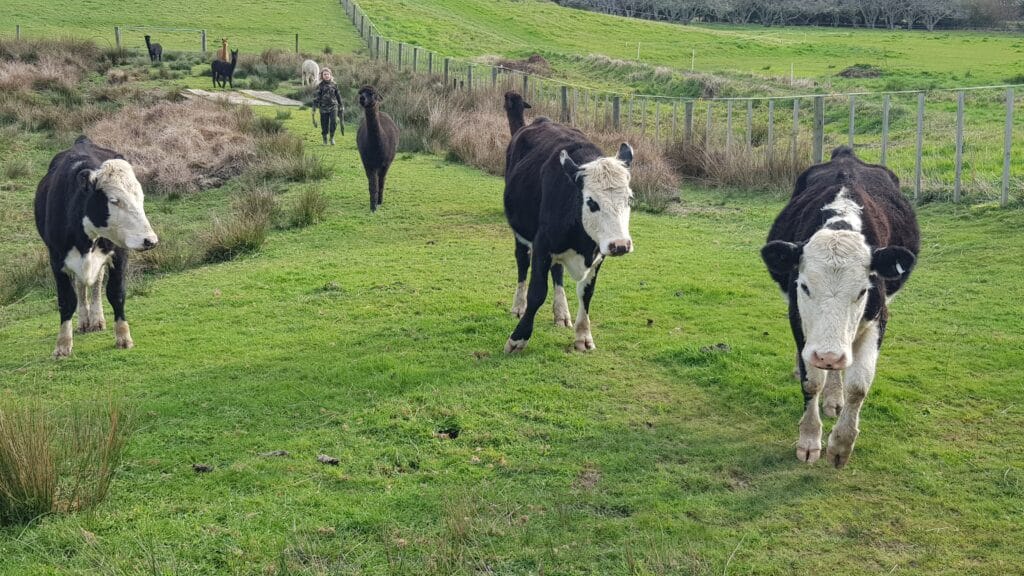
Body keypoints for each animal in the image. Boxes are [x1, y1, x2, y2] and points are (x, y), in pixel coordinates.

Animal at [34, 136, 158, 358]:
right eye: (114, 200)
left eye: (140, 197)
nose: (150, 240)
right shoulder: (56, 261)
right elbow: (67, 301)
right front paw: (63, 345)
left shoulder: (119, 254)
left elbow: (116, 294)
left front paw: (123, 336)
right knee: (81, 285)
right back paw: (85, 320)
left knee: (96, 282)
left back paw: (96, 318)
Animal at [503, 117, 634, 354]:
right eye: (591, 202)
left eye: (629, 199)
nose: (620, 245)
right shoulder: (542, 246)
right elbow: (537, 292)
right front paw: (518, 338)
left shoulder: (598, 254)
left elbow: (586, 293)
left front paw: (583, 335)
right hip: (520, 233)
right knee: (522, 263)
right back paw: (518, 305)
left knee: (557, 272)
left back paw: (561, 312)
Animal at [761, 146, 919, 468]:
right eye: (804, 286)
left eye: (862, 291)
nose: (827, 354)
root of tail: (845, 155)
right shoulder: (797, 318)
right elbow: (812, 381)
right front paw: (809, 440)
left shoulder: (879, 318)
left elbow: (859, 384)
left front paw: (840, 446)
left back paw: (835, 397)